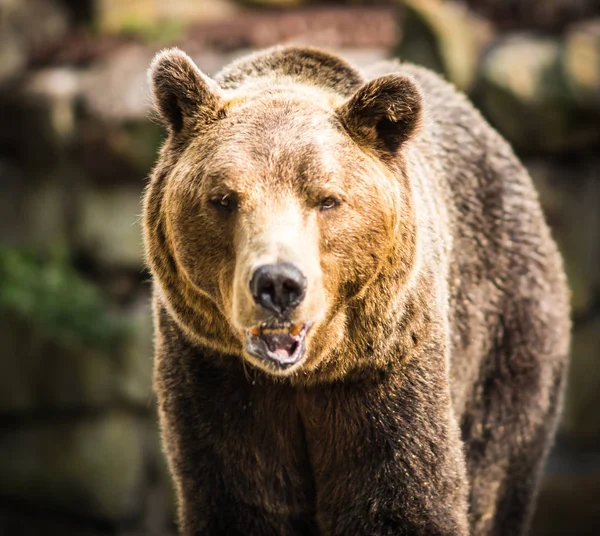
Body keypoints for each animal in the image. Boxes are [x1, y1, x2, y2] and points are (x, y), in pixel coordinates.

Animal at [143, 47, 568, 536]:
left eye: (327, 199)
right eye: (224, 199)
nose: (278, 284)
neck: (304, 377)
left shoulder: (385, 369)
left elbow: (405, 496)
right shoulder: (212, 373)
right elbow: (239, 498)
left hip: (507, 329)